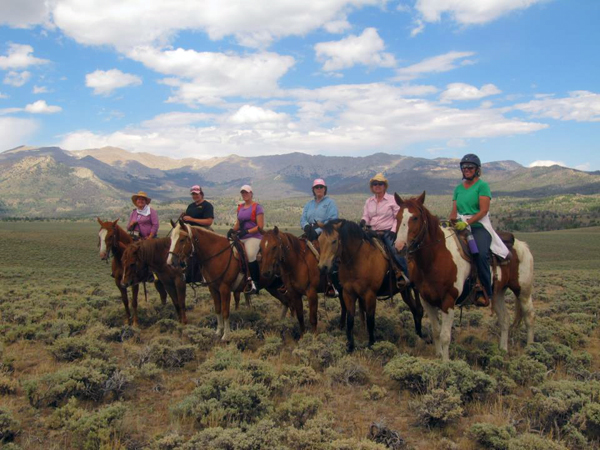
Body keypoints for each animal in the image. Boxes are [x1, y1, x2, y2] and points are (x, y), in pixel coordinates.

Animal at [316, 220, 424, 354]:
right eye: (319, 240)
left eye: (334, 241)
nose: (323, 267)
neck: (358, 261)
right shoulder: (348, 294)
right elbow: (350, 320)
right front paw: (350, 346)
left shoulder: (370, 294)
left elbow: (370, 320)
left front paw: (371, 344)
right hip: (405, 291)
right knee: (415, 310)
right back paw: (417, 335)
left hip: (416, 288)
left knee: (419, 309)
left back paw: (420, 338)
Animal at [394, 192, 536, 360]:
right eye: (397, 217)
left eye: (415, 217)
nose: (399, 247)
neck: (435, 257)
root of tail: (522, 245)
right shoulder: (427, 300)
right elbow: (436, 332)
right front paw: (438, 355)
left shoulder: (448, 301)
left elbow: (445, 336)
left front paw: (446, 362)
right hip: (498, 292)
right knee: (504, 319)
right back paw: (503, 350)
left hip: (523, 291)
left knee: (529, 317)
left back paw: (531, 349)